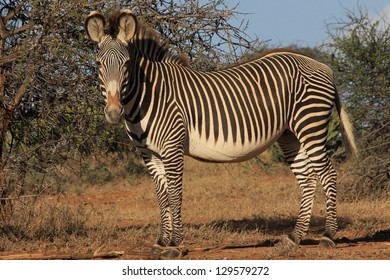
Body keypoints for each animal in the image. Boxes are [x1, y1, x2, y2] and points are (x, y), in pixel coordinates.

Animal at [84, 9, 356, 249]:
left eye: (127, 64)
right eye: (98, 64)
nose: (113, 112)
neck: (148, 96)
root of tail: (321, 65)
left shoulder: (172, 148)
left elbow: (175, 194)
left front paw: (175, 244)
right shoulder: (149, 154)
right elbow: (162, 196)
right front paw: (162, 241)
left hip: (310, 125)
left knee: (328, 174)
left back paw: (328, 236)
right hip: (290, 135)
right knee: (308, 179)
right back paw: (294, 238)